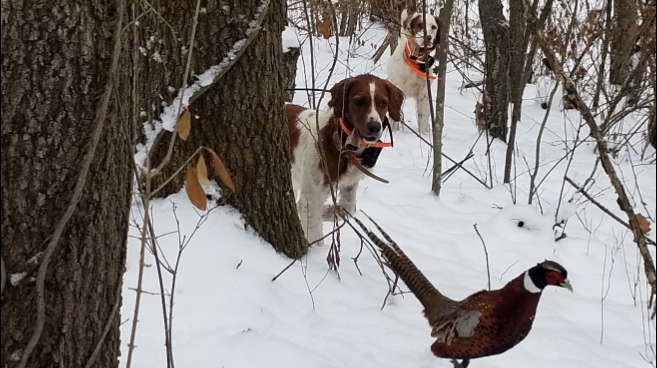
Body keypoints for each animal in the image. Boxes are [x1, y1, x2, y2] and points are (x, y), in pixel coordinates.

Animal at [284, 74, 402, 247]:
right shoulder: (311, 197)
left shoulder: (349, 183)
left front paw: (327, 211)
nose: (375, 127)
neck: (340, 142)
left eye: (383, 103)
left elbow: (348, 208)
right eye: (358, 101)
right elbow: (315, 236)